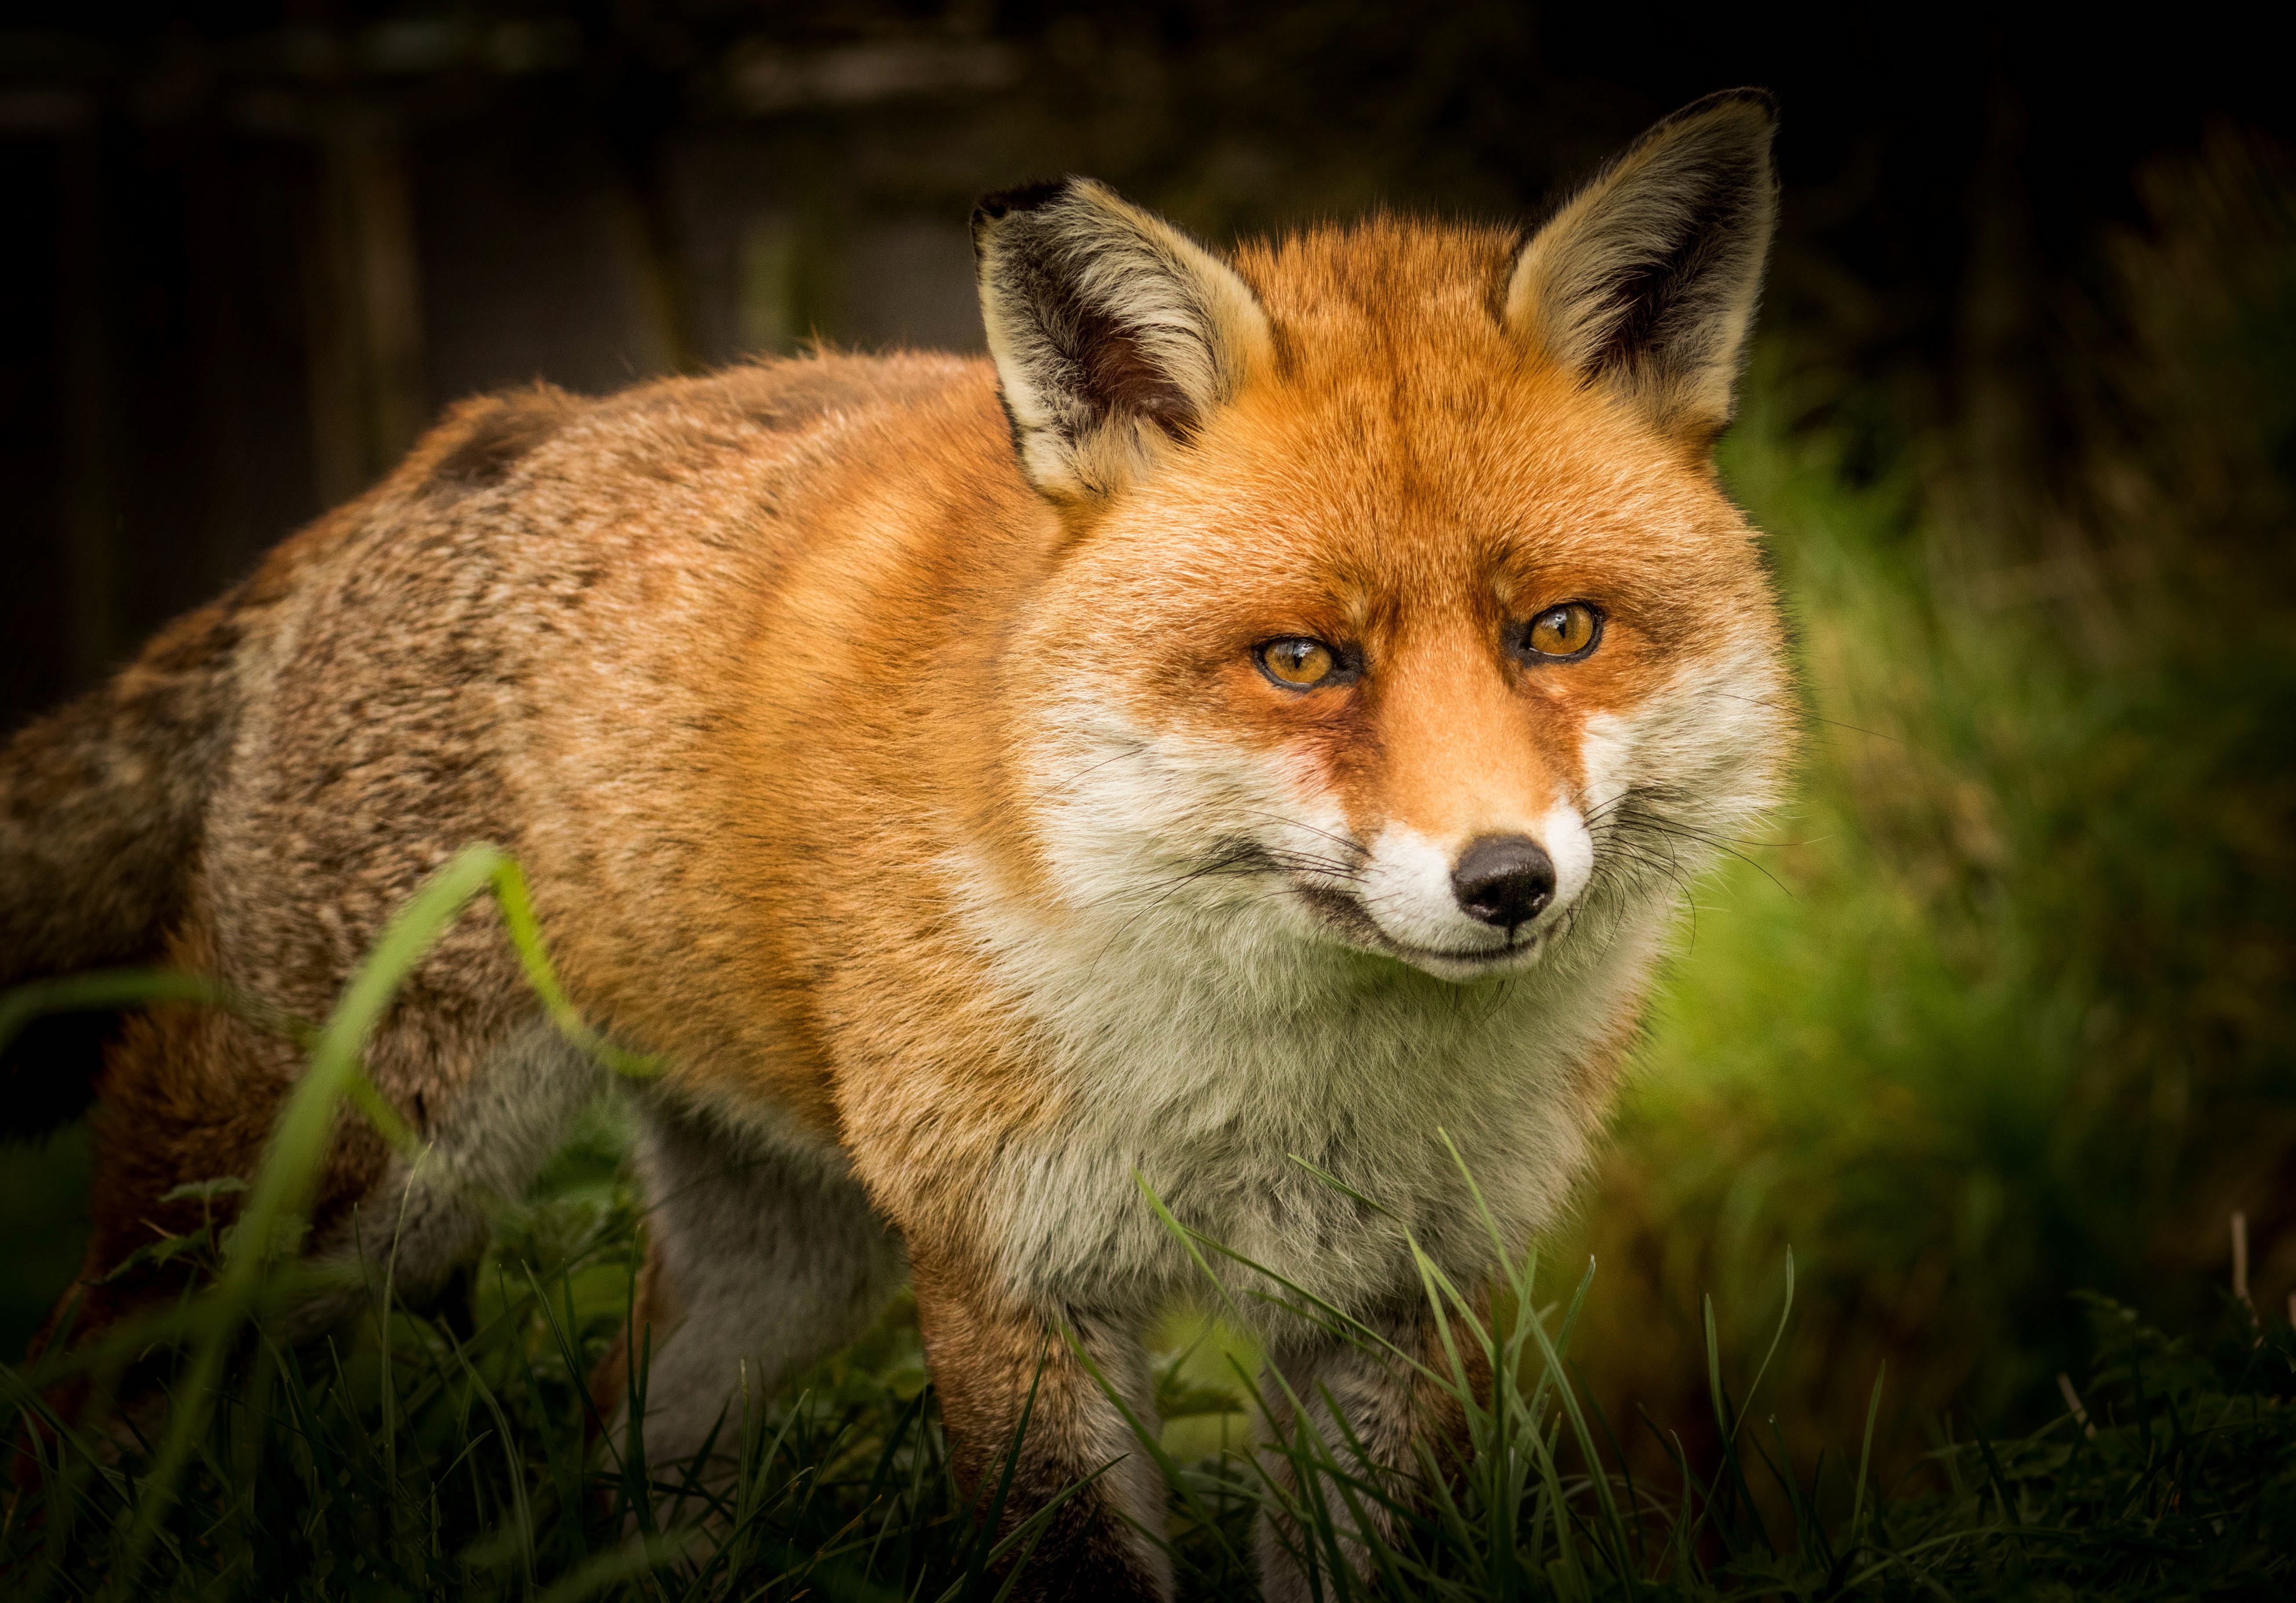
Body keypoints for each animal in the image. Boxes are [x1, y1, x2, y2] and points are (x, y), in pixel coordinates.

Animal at [2, 90, 1789, 1597]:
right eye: (1300, 659)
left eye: (1558, 631)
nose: (1505, 882)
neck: (1280, 1080)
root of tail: (458, 444)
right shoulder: (1014, 1273)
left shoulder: (1387, 1303)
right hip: (320, 1193)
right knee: (76, 1393)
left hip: (782, 1268)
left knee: (618, 1441)